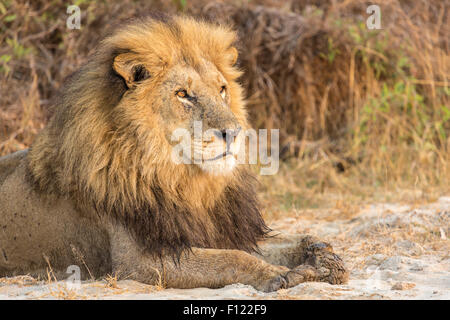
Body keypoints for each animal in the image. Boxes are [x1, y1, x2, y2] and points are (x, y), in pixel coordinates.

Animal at [0, 15, 348, 292]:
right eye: (183, 95)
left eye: (222, 89)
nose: (234, 133)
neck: (183, 181)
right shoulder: (141, 261)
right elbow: (233, 259)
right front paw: (281, 274)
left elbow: (272, 243)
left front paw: (322, 255)